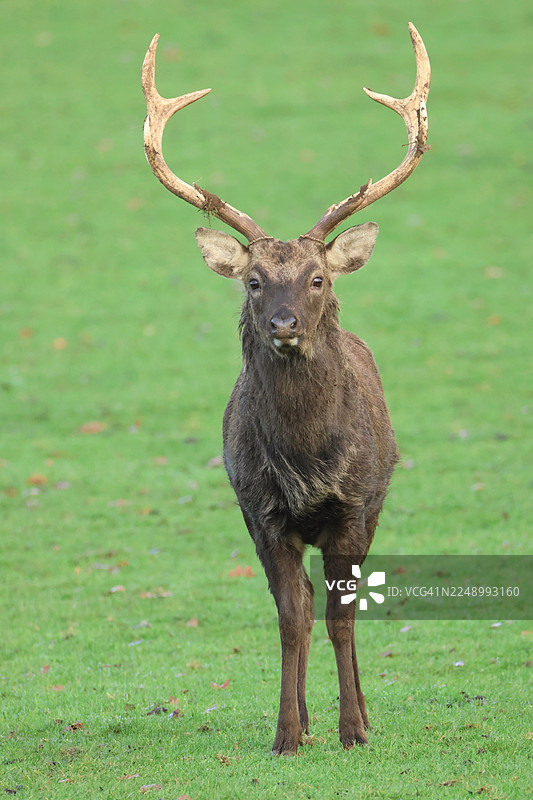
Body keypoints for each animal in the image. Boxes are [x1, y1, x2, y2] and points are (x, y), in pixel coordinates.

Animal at [142, 23, 430, 754]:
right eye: (253, 280)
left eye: (317, 278)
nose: (283, 325)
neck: (306, 461)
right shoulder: (260, 510)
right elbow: (290, 617)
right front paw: (286, 733)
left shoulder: (353, 507)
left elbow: (340, 616)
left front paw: (353, 729)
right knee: (296, 601)